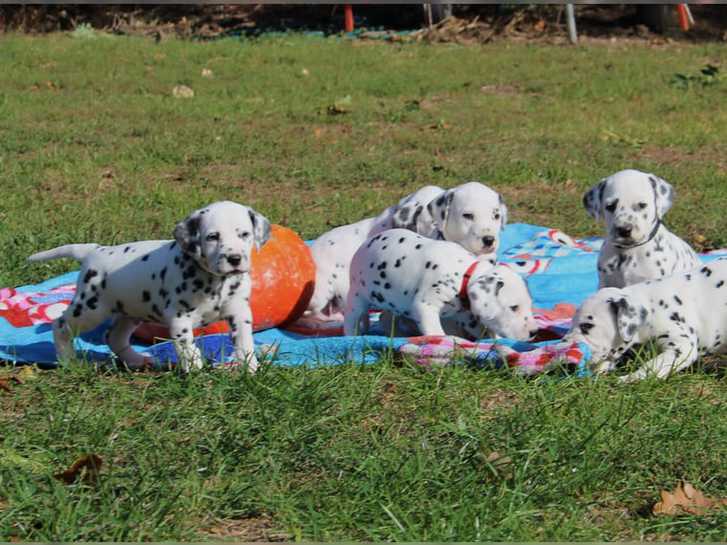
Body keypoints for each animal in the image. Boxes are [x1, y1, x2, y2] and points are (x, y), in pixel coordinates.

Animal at [27, 202, 272, 372]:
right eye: (213, 236)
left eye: (245, 234)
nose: (234, 259)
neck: (215, 282)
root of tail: (94, 251)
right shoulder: (179, 318)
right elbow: (187, 346)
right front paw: (196, 372)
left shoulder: (239, 312)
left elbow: (244, 341)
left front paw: (249, 368)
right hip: (90, 309)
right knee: (60, 325)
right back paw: (68, 361)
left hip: (130, 312)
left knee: (114, 337)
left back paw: (137, 360)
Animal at [344, 228, 536, 340]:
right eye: (514, 307)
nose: (534, 332)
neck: (462, 274)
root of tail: (365, 243)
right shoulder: (425, 306)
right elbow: (436, 332)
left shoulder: (467, 317)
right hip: (357, 297)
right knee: (351, 319)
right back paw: (352, 337)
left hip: (393, 301)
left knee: (385, 318)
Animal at [568, 260, 727, 382]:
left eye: (586, 326)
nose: (569, 364)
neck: (652, 305)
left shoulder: (681, 346)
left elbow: (652, 366)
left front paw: (628, 379)